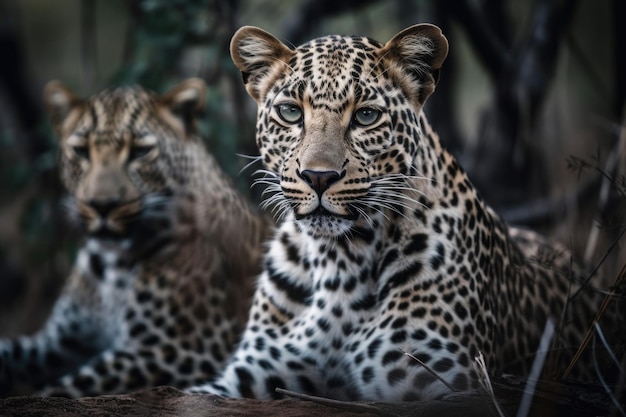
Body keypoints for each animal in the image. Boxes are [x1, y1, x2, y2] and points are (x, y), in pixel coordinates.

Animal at [0, 77, 270, 396]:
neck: (110, 261)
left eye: (140, 152)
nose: (101, 205)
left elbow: (69, 387)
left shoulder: (181, 351)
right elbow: (12, 351)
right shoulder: (62, 340)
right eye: (81, 150)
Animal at [186, 24, 620, 402]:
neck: (338, 260)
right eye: (291, 113)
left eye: (366, 116)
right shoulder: (247, 373)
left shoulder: (444, 384)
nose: (318, 176)